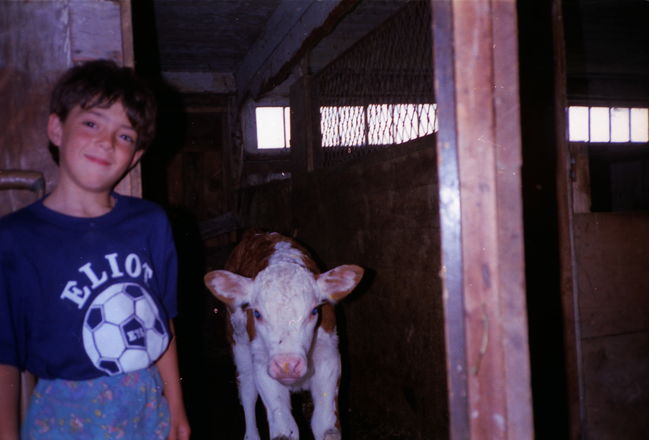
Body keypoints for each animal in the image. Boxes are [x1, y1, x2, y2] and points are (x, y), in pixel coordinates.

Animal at [204, 230, 364, 440]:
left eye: (314, 311)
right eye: (257, 313)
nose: (287, 365)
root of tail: (258, 233)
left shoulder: (329, 357)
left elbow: (326, 427)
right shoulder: (262, 364)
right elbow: (283, 431)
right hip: (238, 343)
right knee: (247, 389)